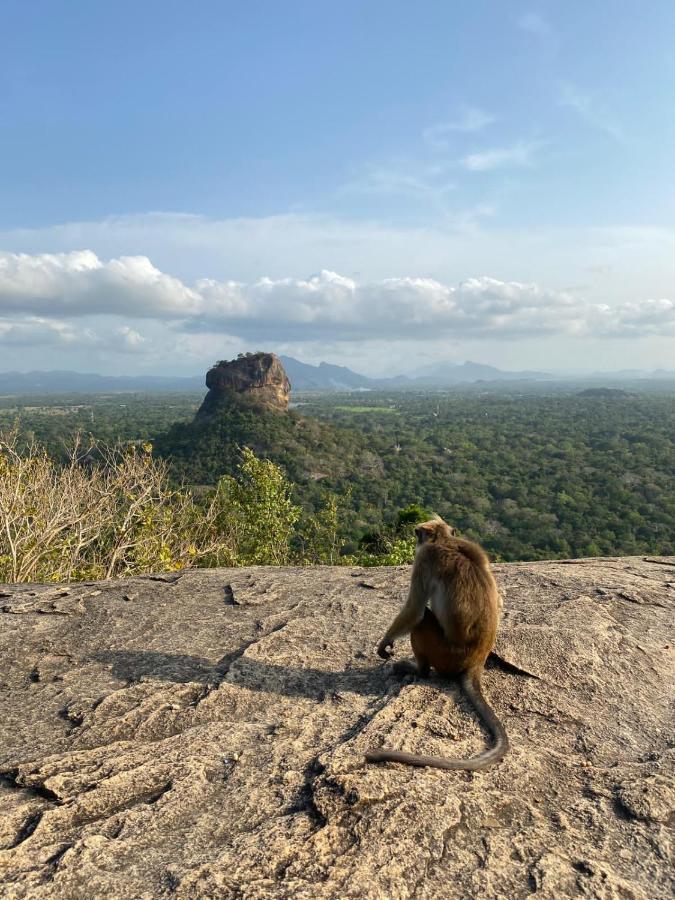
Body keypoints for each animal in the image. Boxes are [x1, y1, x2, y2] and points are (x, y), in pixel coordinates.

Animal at [368, 516, 510, 768]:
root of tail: (477, 661)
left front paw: (385, 642)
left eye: (418, 535)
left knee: (422, 619)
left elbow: (414, 610)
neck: (445, 541)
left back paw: (418, 670)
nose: (416, 538)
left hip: (444, 655)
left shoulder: (424, 558)